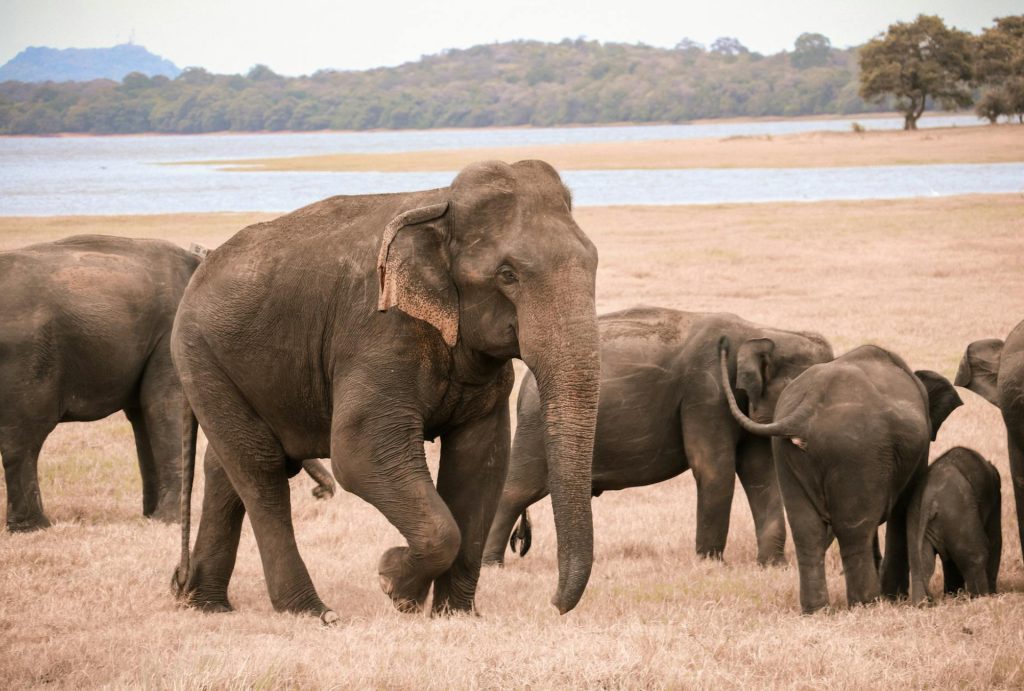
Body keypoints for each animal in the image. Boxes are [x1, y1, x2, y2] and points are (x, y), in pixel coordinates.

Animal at [170, 160, 601, 623]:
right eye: (508, 275)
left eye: (593, 263)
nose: (553, 604)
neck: (441, 206)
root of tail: (200, 267)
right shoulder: (379, 332)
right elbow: (359, 454)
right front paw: (394, 583)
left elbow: (481, 461)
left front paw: (454, 615)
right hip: (200, 355)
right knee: (259, 468)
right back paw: (313, 613)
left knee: (224, 467)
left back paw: (208, 605)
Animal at [483, 307, 833, 567]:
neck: (765, 331)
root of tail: (526, 384)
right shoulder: (706, 392)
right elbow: (714, 469)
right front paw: (710, 565)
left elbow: (761, 474)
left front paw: (772, 565)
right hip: (536, 427)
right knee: (517, 490)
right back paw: (491, 565)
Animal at [719, 340, 963, 613]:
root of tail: (810, 404)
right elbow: (903, 510)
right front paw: (893, 598)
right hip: (855, 450)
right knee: (854, 529)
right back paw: (866, 604)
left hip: (785, 452)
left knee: (806, 529)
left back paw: (817, 610)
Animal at [907, 446, 1001, 604]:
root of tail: (929, 500)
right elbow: (994, 541)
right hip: (958, 511)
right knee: (978, 555)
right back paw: (981, 598)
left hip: (915, 517)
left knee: (919, 564)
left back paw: (922, 604)